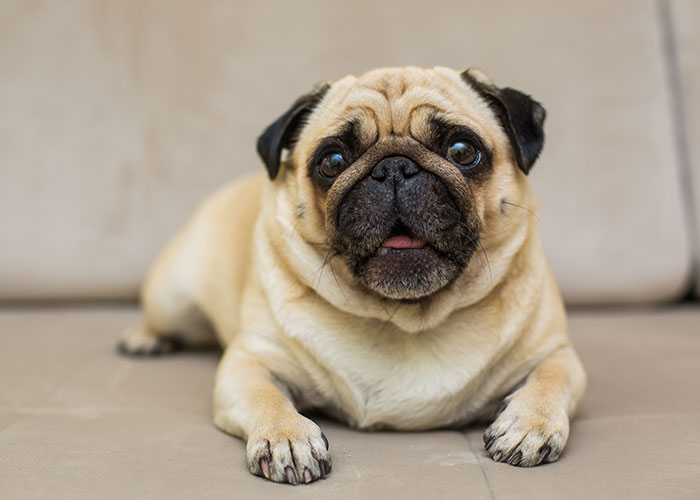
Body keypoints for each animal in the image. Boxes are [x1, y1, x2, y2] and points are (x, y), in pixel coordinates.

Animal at [119, 66, 584, 484]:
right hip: (173, 299)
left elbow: (551, 379)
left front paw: (529, 424)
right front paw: (287, 437)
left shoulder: (556, 353)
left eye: (462, 151)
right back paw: (143, 339)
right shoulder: (250, 361)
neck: (403, 317)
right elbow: (266, 396)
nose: (394, 168)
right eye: (333, 161)